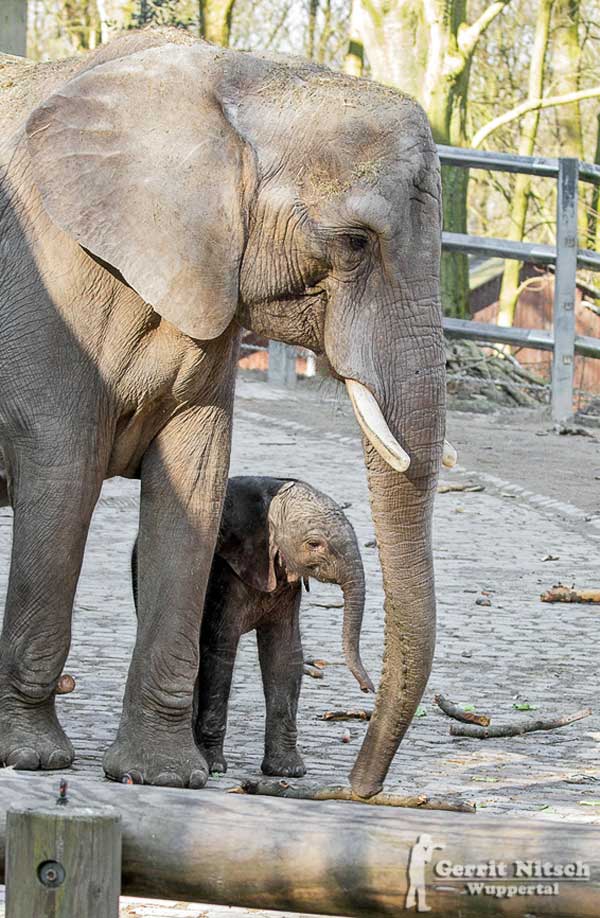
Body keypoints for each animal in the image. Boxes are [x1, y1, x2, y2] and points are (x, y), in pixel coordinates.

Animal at [134, 478, 372, 780]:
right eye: (314, 544)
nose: (367, 689)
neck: (271, 501)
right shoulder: (225, 573)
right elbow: (220, 650)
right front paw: (213, 765)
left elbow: (285, 654)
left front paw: (288, 771)